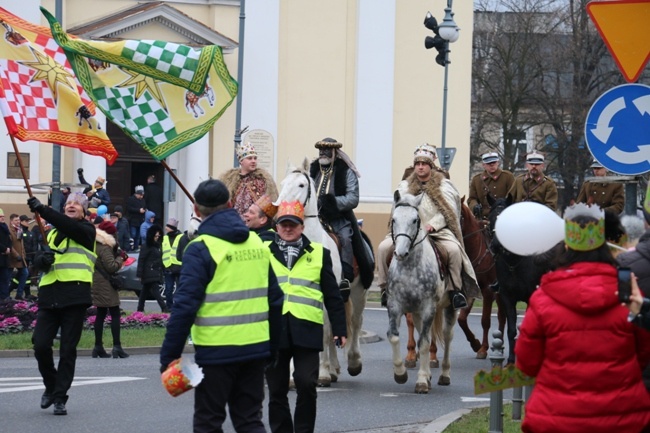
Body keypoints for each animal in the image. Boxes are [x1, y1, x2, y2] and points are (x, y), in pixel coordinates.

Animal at [274, 159, 368, 384]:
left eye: (301, 185)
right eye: (282, 184)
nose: (280, 215)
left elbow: (324, 331)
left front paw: (322, 373)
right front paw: (293, 374)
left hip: (358, 291)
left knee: (354, 322)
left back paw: (352, 363)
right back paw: (334, 369)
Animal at [388, 191, 454, 394]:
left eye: (415, 220)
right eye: (394, 219)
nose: (400, 253)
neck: (411, 267)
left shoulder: (428, 308)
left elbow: (424, 343)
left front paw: (422, 380)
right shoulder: (395, 306)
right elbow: (394, 336)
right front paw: (400, 373)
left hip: (450, 308)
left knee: (447, 337)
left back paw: (444, 375)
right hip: (417, 312)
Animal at [402, 201, 504, 366]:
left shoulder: (487, 291)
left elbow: (485, 320)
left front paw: (482, 348)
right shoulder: (468, 291)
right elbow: (461, 319)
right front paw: (475, 344)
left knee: (501, 316)